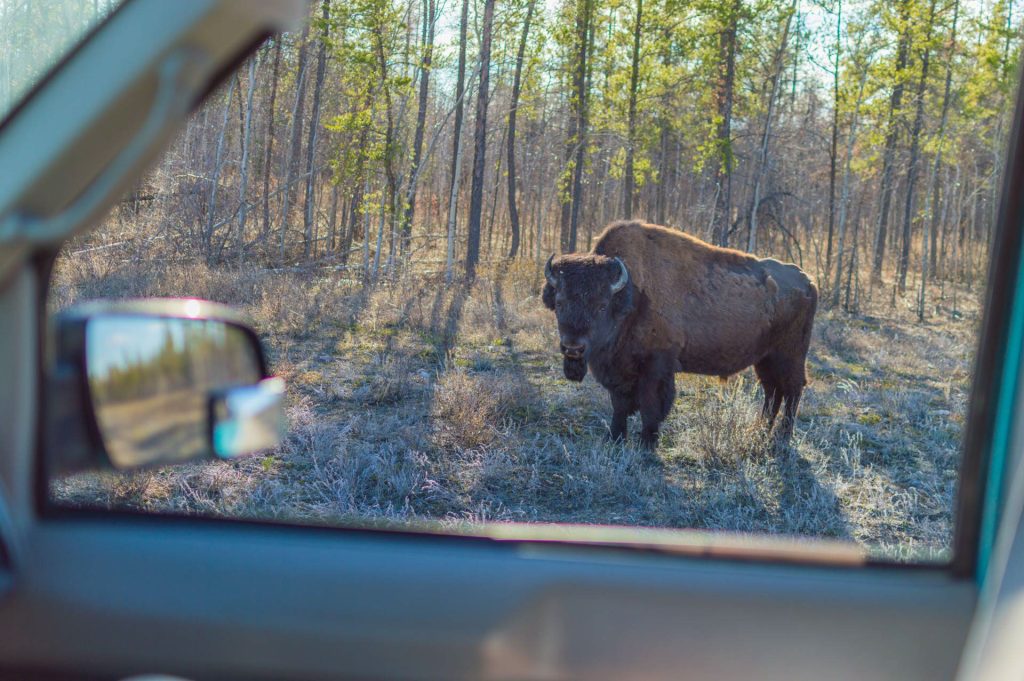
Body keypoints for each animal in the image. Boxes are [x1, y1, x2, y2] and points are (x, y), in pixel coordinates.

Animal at [543, 220, 817, 449]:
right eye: (560, 303)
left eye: (601, 305)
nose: (573, 348)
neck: (630, 296)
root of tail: (807, 280)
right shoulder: (618, 371)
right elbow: (619, 405)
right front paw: (615, 439)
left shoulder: (656, 367)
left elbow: (651, 406)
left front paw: (647, 445)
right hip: (765, 358)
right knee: (773, 391)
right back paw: (759, 432)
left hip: (789, 355)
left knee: (792, 390)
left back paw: (781, 438)